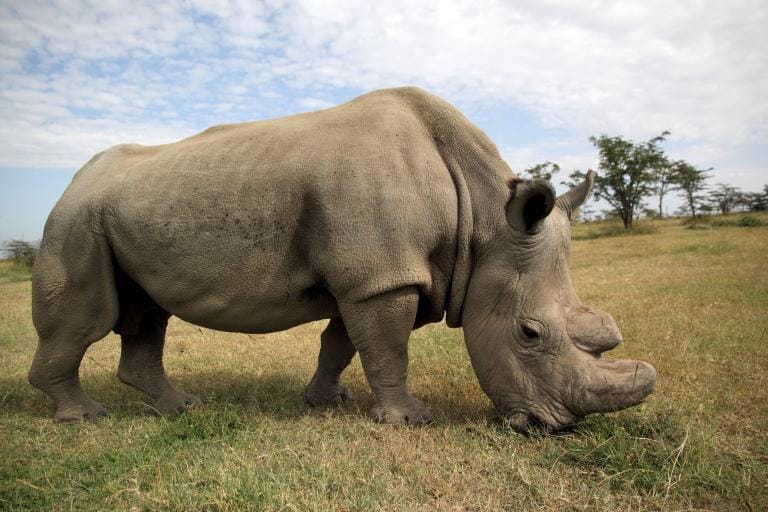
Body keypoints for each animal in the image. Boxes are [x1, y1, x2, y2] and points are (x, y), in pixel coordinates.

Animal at [29, 87, 657, 432]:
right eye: (529, 333)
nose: (557, 428)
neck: (484, 222)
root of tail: (75, 179)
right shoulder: (382, 277)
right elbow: (388, 348)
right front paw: (410, 420)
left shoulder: (378, 275)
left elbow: (344, 344)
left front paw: (326, 401)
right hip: (74, 220)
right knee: (88, 319)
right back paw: (86, 418)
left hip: (122, 211)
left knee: (147, 315)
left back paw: (179, 407)